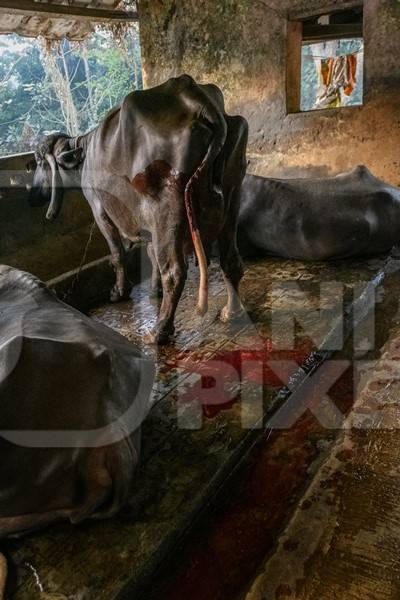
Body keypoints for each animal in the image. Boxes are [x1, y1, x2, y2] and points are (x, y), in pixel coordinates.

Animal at [28, 76, 247, 342]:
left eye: (40, 162)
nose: (32, 195)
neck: (84, 156)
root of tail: (198, 101)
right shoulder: (148, 223)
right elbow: (151, 253)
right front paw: (153, 289)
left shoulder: (101, 211)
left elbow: (117, 255)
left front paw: (119, 291)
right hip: (232, 200)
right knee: (231, 260)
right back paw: (231, 311)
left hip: (167, 213)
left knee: (175, 272)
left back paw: (159, 330)